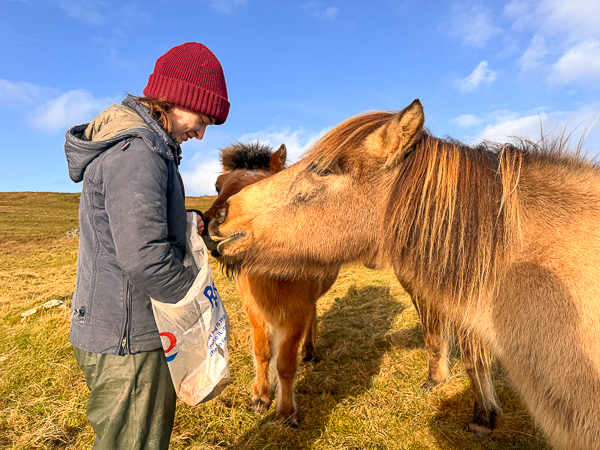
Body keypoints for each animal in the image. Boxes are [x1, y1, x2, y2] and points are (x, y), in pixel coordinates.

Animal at [204, 142, 340, 424]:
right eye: (218, 185)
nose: (212, 229)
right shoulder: (255, 311)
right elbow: (263, 352)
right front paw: (260, 397)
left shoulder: (295, 312)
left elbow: (286, 364)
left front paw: (286, 412)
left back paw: (309, 351)